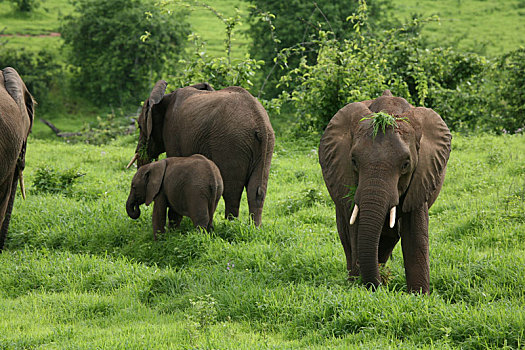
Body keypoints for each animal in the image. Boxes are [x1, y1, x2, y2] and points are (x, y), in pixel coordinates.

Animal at [127, 80, 274, 226]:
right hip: (266, 145)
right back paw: (254, 227)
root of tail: (260, 121)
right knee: (256, 191)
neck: (165, 97)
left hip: (231, 144)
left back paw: (229, 225)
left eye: (139, 126)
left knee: (232, 191)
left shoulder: (171, 132)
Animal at [318, 90, 452, 292]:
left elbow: (415, 236)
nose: (378, 286)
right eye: (354, 161)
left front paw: (419, 295)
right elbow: (356, 230)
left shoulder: (422, 177)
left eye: (405, 164)